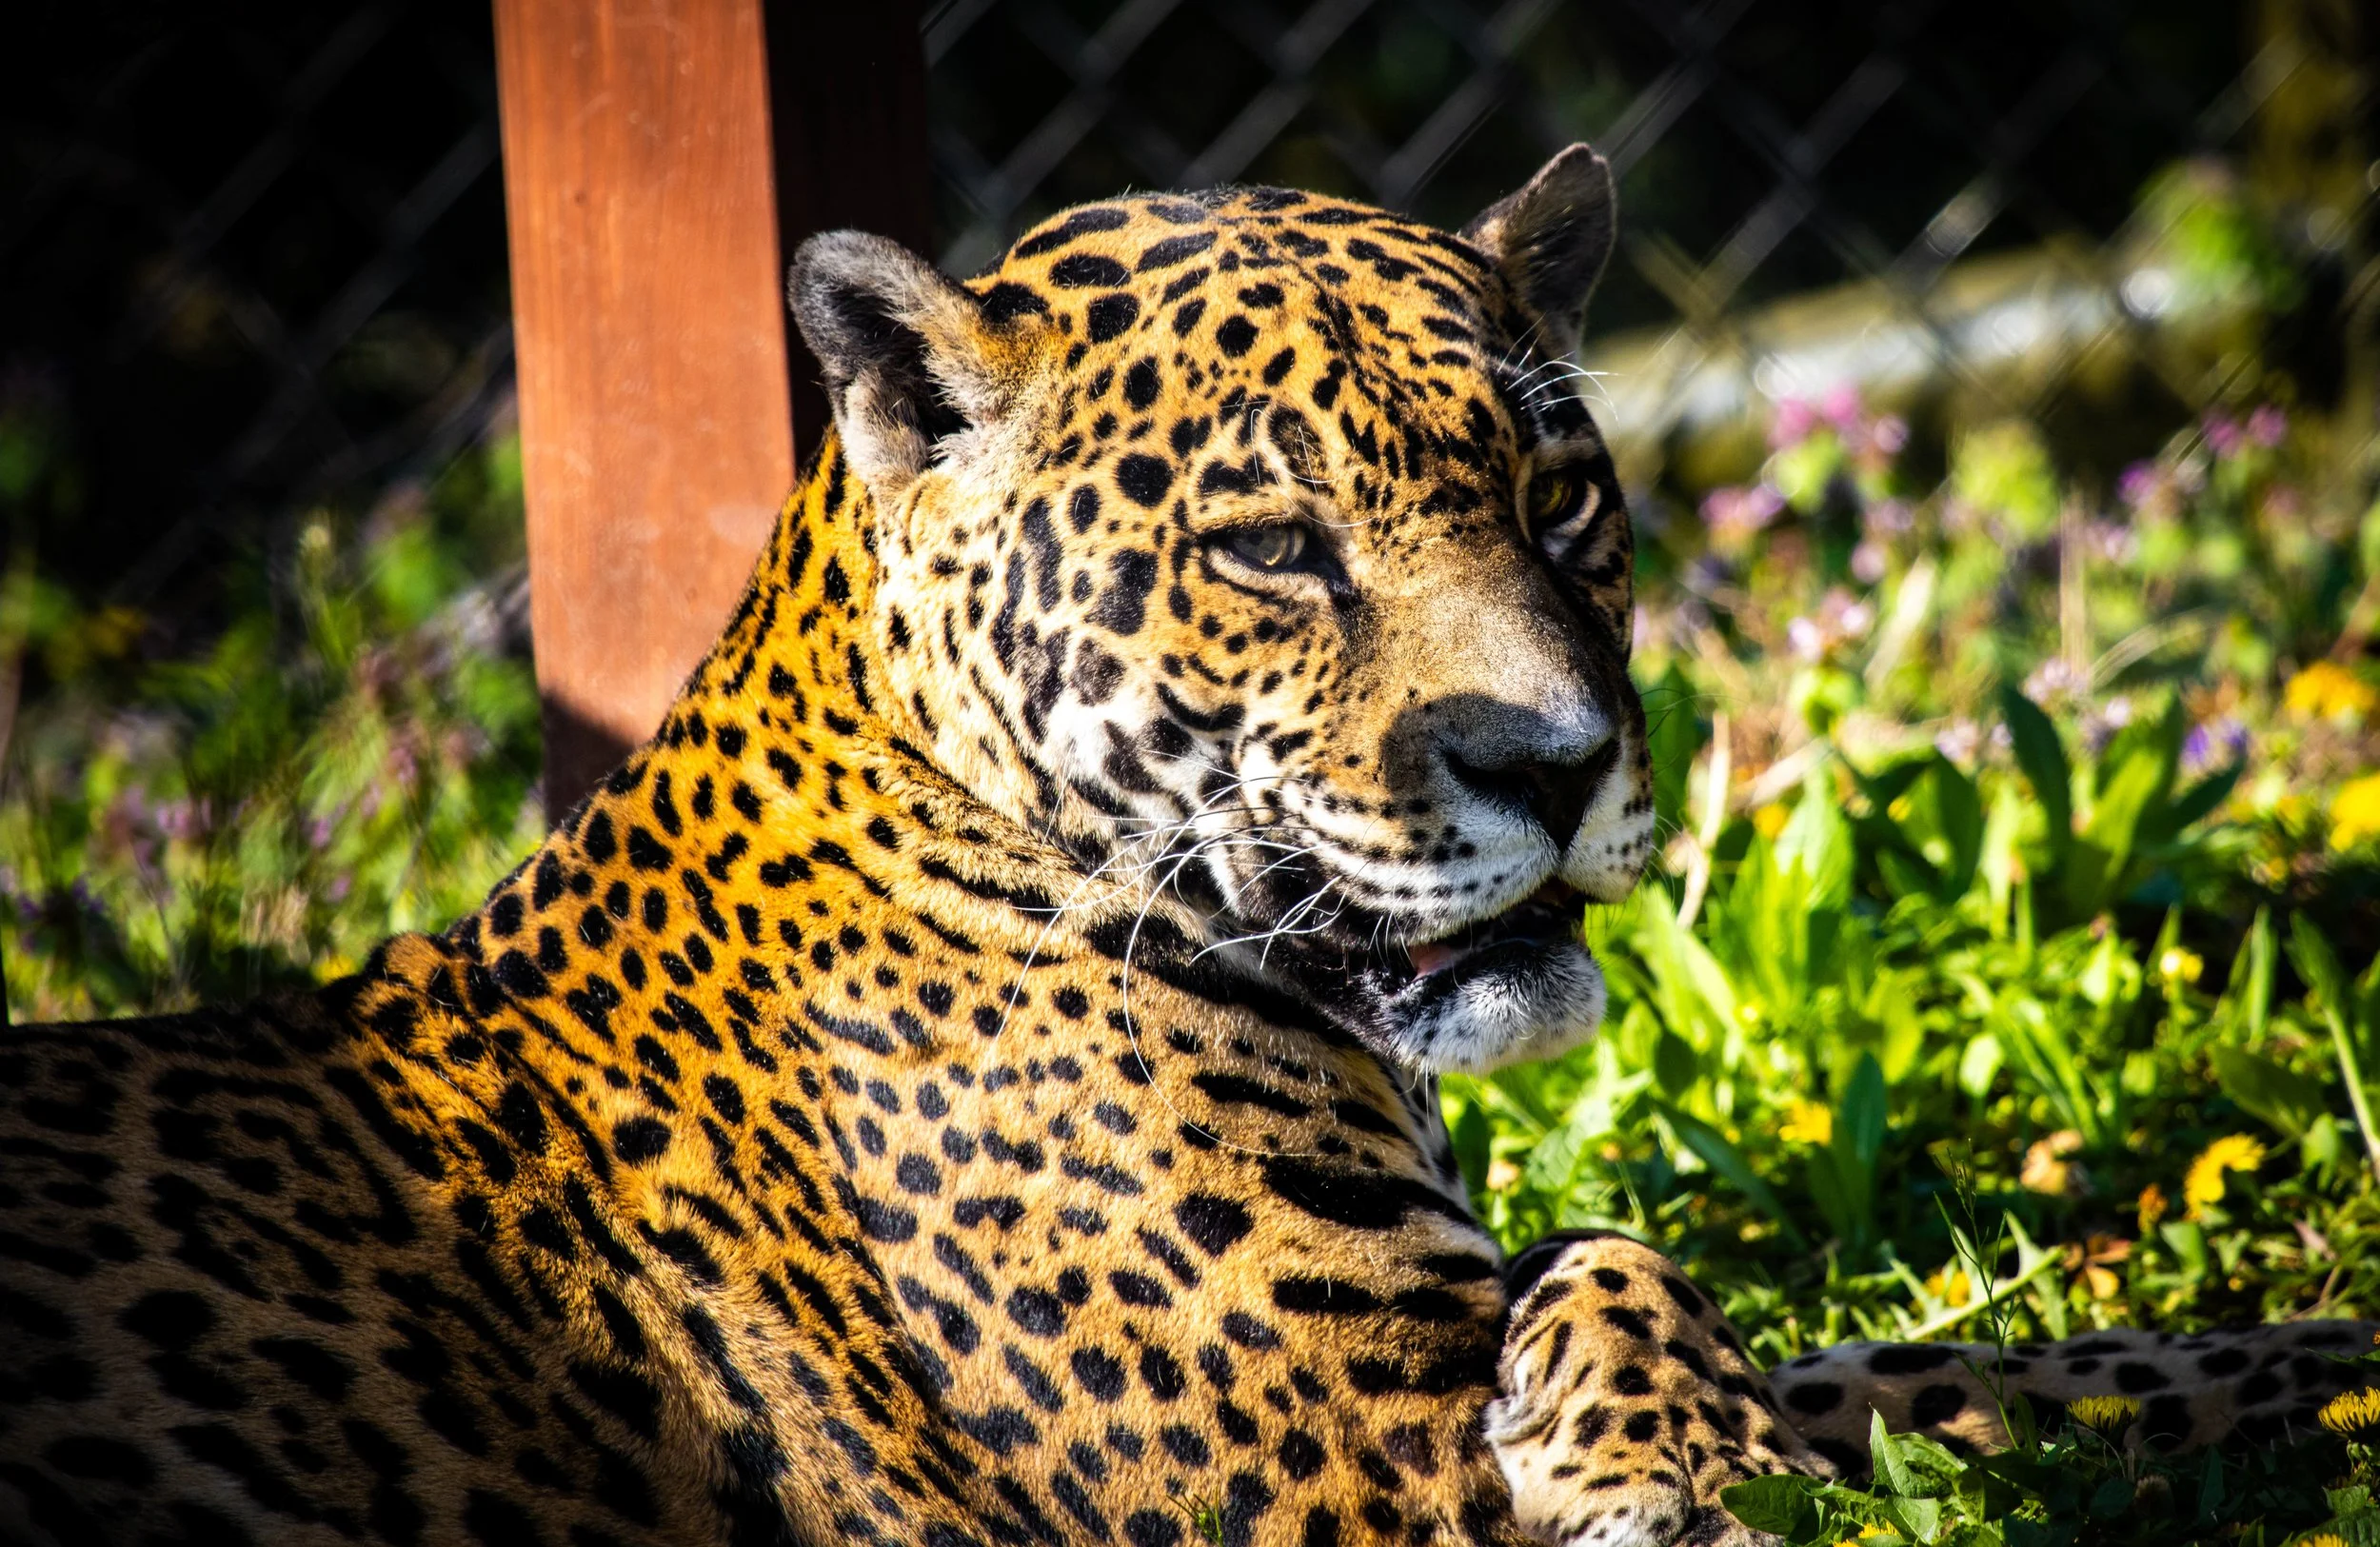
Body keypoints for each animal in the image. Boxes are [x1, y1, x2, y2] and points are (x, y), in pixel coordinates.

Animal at [0, 143, 2367, 1547]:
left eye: (1559, 495)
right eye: (1267, 547)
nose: (1556, 757)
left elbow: (1973, 1362)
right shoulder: (1347, 1485)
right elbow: (1689, 1284)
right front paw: (1668, 1451)